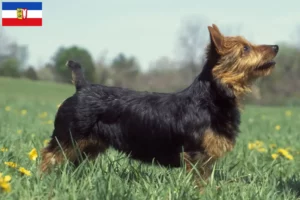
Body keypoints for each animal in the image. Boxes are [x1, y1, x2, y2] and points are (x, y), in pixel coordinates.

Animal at [40, 23, 278, 189]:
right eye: (245, 48)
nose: (276, 46)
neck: (211, 98)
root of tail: (82, 87)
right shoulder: (195, 156)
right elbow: (198, 183)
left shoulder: (207, 159)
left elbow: (205, 181)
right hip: (67, 138)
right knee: (48, 156)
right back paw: (43, 179)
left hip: (89, 145)